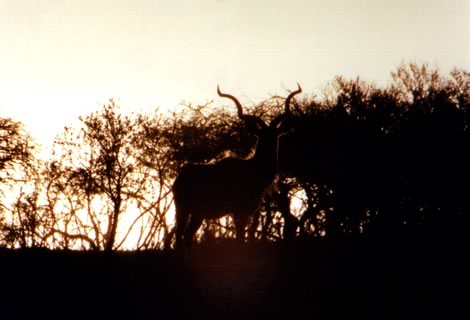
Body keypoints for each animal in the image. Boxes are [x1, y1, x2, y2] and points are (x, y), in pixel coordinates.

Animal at [173, 85, 302, 252]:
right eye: (261, 136)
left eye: (276, 136)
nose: (270, 148)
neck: (251, 169)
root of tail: (180, 178)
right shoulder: (237, 211)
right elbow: (240, 238)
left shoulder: (246, 212)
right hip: (184, 210)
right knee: (180, 236)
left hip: (196, 213)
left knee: (186, 235)